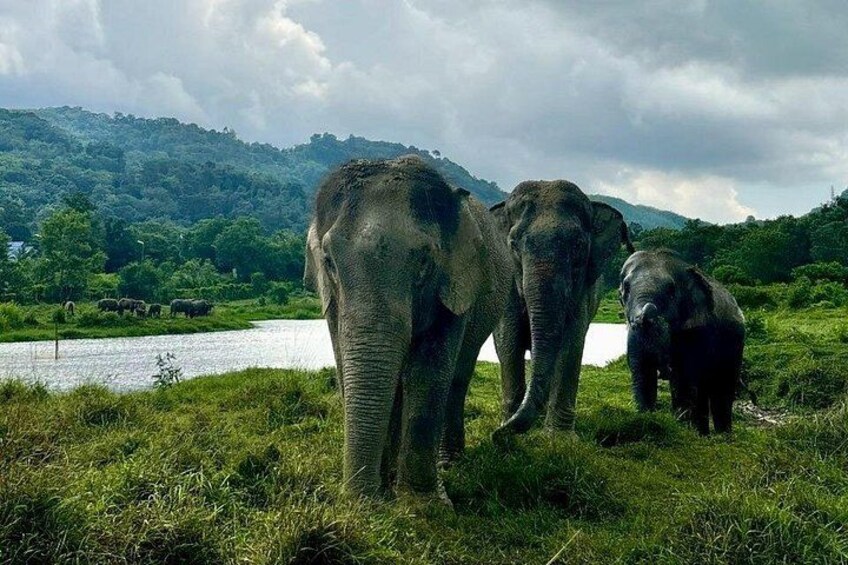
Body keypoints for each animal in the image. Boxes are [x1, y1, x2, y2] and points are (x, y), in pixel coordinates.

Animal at [304, 155, 513, 501]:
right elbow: (345, 362)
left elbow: (429, 371)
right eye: (329, 260)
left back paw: (448, 463)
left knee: (457, 378)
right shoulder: (331, 300)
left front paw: (424, 503)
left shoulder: (454, 287)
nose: (363, 502)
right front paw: (382, 494)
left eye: (424, 261)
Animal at [491, 180, 633, 438]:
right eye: (513, 245)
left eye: (578, 246)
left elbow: (571, 342)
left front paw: (559, 438)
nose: (495, 435)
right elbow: (508, 339)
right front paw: (507, 423)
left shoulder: (583, 290)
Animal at [620, 250, 745, 434]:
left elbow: (684, 377)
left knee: (721, 389)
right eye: (626, 288)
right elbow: (642, 371)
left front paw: (684, 431)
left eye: (671, 290)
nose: (648, 312)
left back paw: (721, 436)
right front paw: (646, 420)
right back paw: (704, 434)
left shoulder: (697, 330)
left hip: (735, 344)